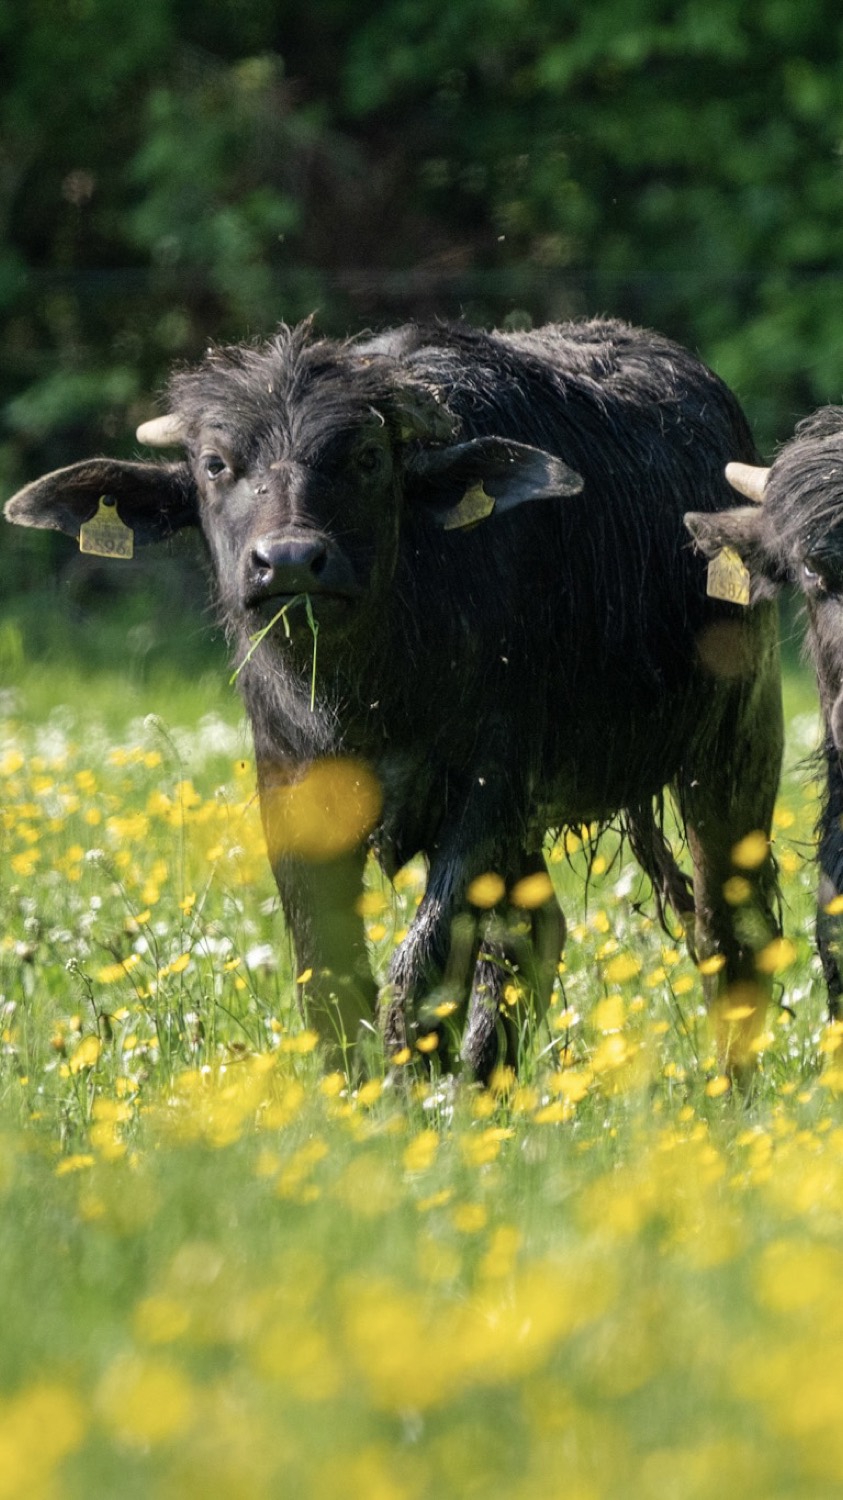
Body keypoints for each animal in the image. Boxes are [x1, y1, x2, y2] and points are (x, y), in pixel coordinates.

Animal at [5, 317, 783, 1078]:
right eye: (215, 464)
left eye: (367, 458)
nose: (290, 561)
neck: (369, 691)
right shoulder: (291, 787)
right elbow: (329, 977)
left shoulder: (489, 788)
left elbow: (423, 970)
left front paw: (410, 1081)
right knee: (532, 934)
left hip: (734, 746)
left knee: (728, 930)